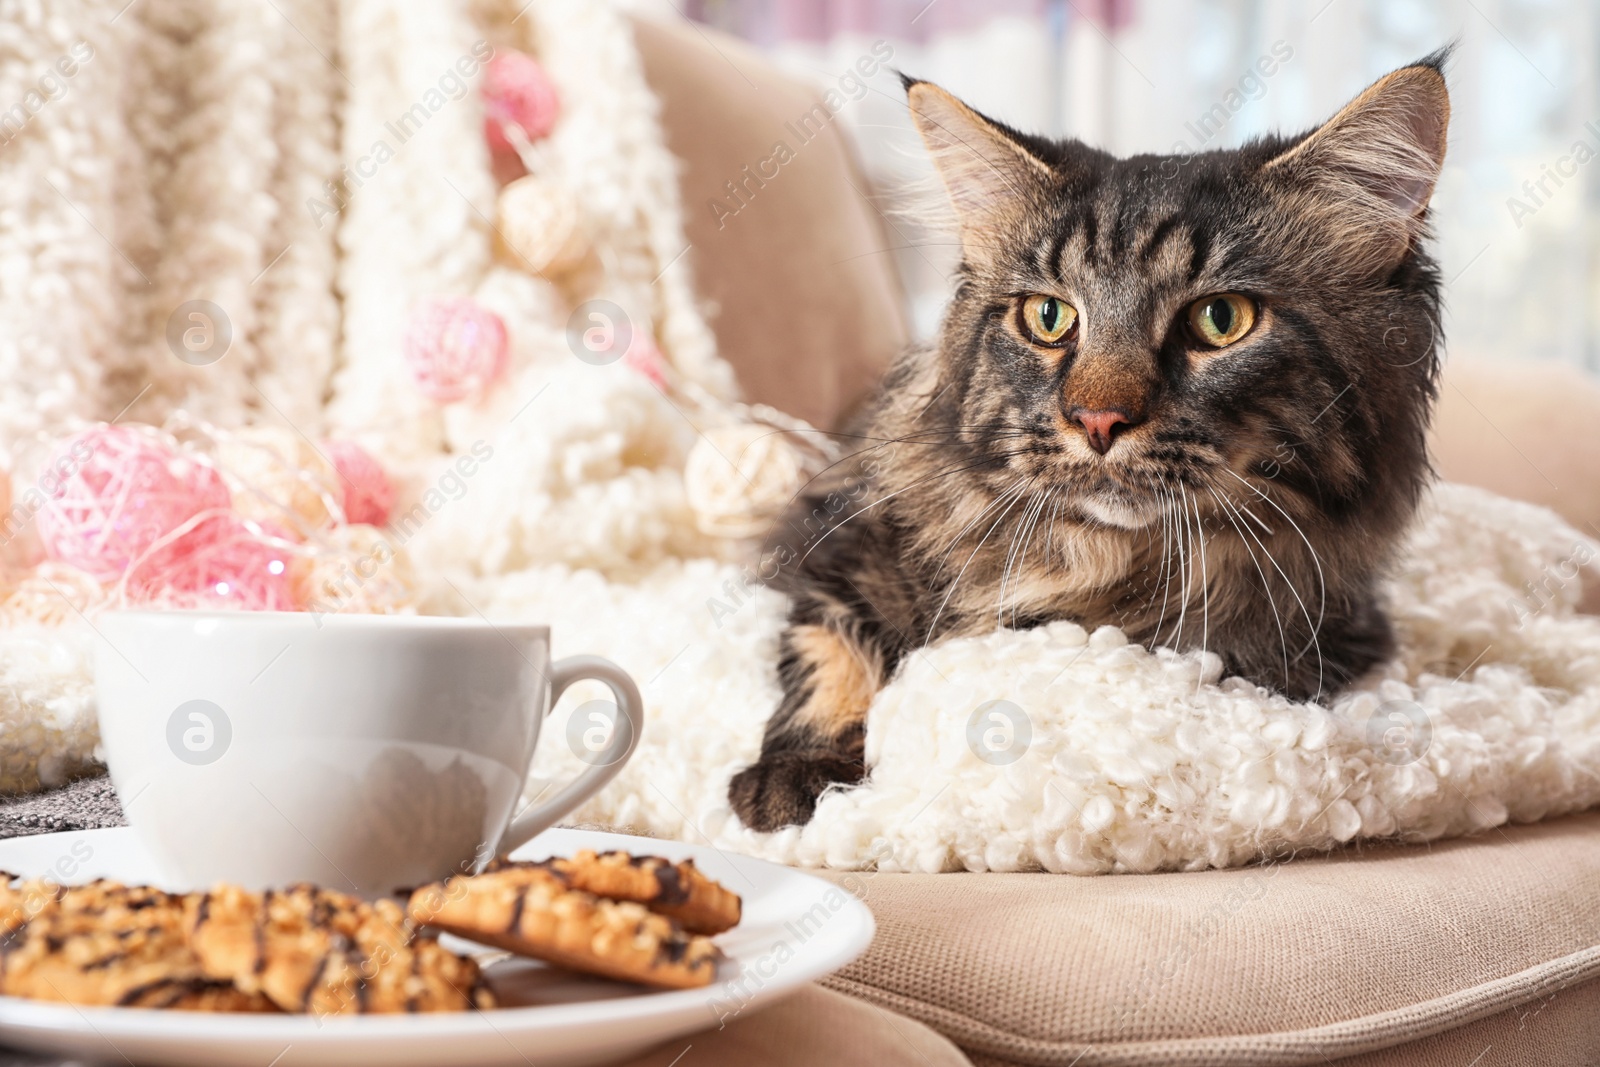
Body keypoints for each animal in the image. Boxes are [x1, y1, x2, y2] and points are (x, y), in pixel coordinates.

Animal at [732, 54, 1459, 831]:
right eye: (1048, 317)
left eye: (1222, 318)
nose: (1098, 419)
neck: (1102, 567)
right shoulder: (833, 539)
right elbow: (830, 647)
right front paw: (792, 777)